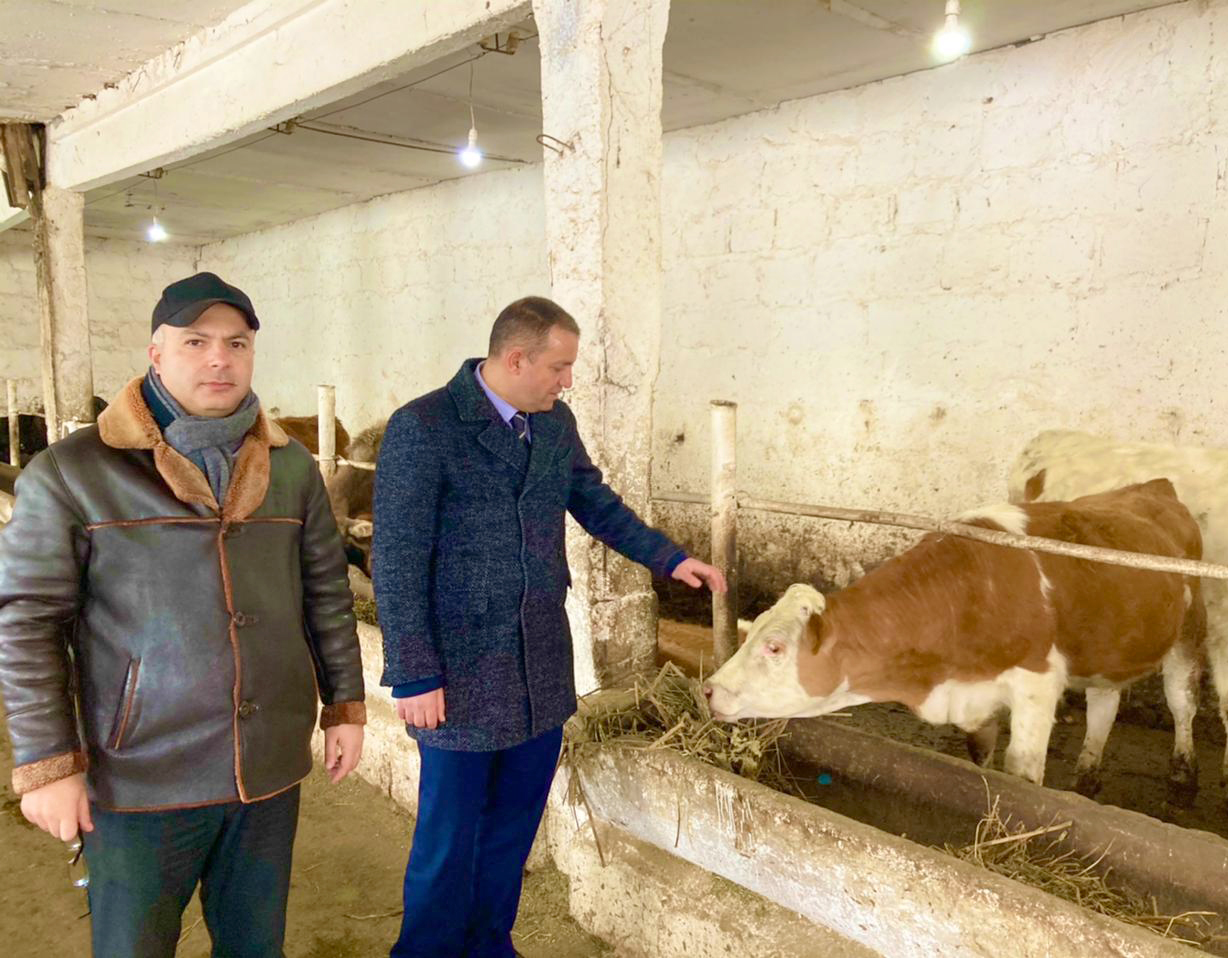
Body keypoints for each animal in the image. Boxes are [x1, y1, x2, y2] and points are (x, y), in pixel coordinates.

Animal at [703, 480, 1215, 804]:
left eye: (774, 647)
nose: (709, 688)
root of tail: (1155, 486)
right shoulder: (974, 698)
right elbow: (980, 760)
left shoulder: (1037, 684)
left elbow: (1020, 773)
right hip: (1110, 647)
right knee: (1105, 702)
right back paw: (1087, 776)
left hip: (1190, 632)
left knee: (1182, 703)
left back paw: (1183, 778)